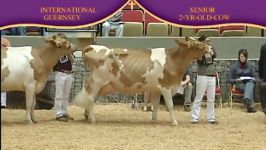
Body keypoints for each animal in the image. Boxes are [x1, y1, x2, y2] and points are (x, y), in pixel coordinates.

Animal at [73, 37, 212, 125]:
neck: (172, 59)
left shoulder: (156, 89)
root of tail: (92, 46)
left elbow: (155, 105)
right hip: (97, 81)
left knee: (90, 98)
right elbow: (170, 105)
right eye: (198, 45)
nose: (210, 49)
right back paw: (92, 119)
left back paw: (87, 116)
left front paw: (155, 119)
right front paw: (174, 122)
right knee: (91, 98)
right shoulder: (166, 86)